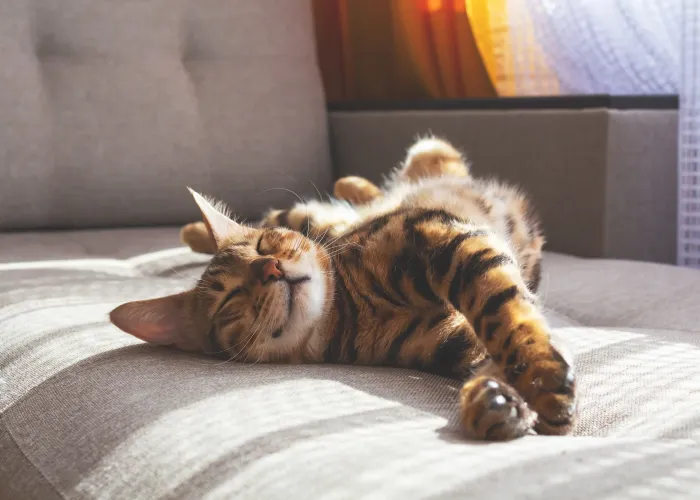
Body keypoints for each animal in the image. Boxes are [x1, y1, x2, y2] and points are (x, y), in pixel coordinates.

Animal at [112, 138, 576, 442]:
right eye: (231, 297)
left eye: (263, 247)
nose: (271, 268)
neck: (350, 310)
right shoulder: (454, 339)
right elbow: (493, 347)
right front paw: (497, 402)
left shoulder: (438, 233)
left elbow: (505, 314)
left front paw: (541, 379)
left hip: (389, 179)